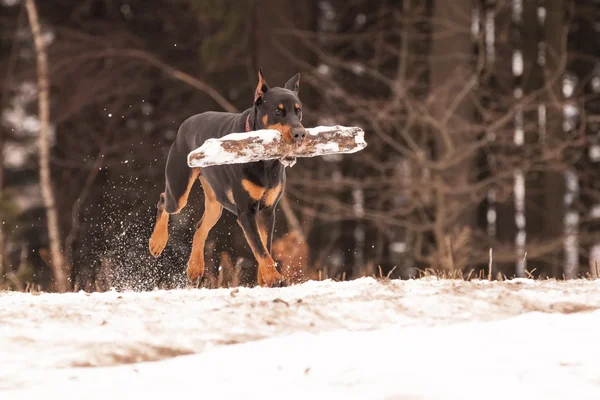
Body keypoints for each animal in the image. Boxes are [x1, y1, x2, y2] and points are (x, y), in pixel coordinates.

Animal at [146, 69, 304, 288]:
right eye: (277, 111)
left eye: (298, 110)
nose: (300, 134)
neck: (264, 160)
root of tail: (186, 123)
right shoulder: (246, 212)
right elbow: (260, 249)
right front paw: (275, 279)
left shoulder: (267, 211)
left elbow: (265, 246)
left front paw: (265, 281)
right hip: (179, 189)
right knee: (164, 201)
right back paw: (157, 242)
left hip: (216, 202)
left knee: (200, 228)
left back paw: (195, 269)